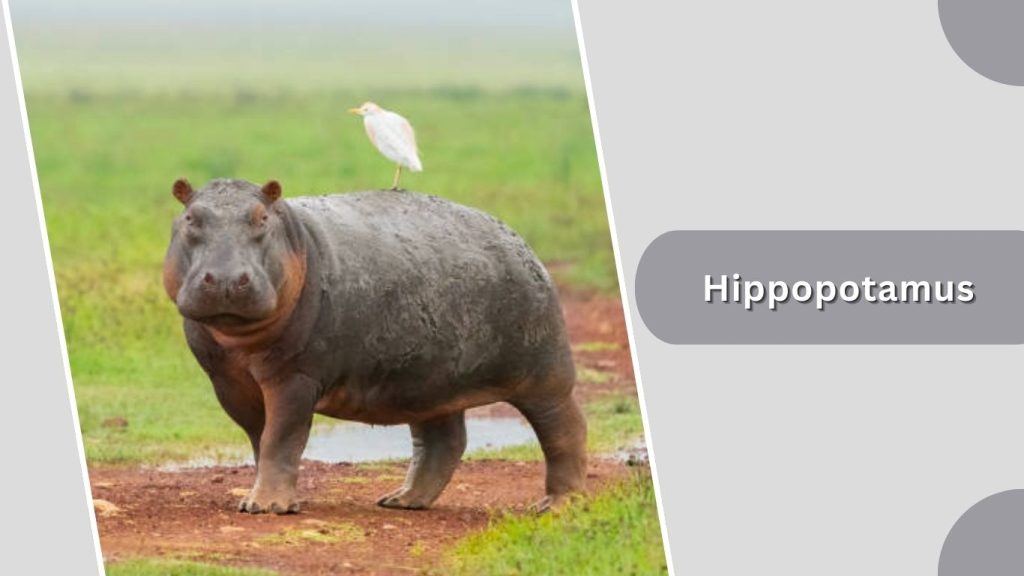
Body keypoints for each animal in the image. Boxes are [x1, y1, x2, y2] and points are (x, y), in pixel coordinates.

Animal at [163, 178, 587, 514]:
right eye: (191, 219)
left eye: (261, 219)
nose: (226, 279)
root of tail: (517, 239)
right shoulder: (229, 383)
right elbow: (260, 439)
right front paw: (268, 499)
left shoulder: (296, 377)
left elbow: (282, 437)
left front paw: (265, 507)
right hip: (427, 382)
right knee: (443, 441)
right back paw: (402, 500)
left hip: (544, 373)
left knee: (565, 429)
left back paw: (556, 505)